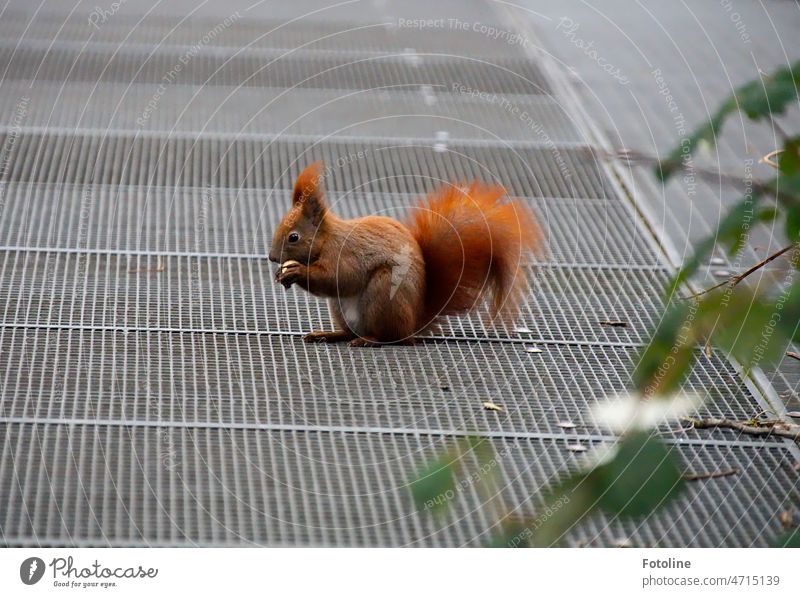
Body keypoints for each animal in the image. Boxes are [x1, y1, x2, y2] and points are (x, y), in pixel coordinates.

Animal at [270, 163, 544, 346]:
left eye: (293, 237)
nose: (272, 257)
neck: (327, 240)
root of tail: (413, 323)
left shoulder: (345, 253)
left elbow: (340, 278)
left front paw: (296, 271)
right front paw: (281, 275)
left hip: (384, 291)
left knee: (390, 337)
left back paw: (369, 340)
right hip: (340, 308)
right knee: (350, 332)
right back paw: (329, 334)